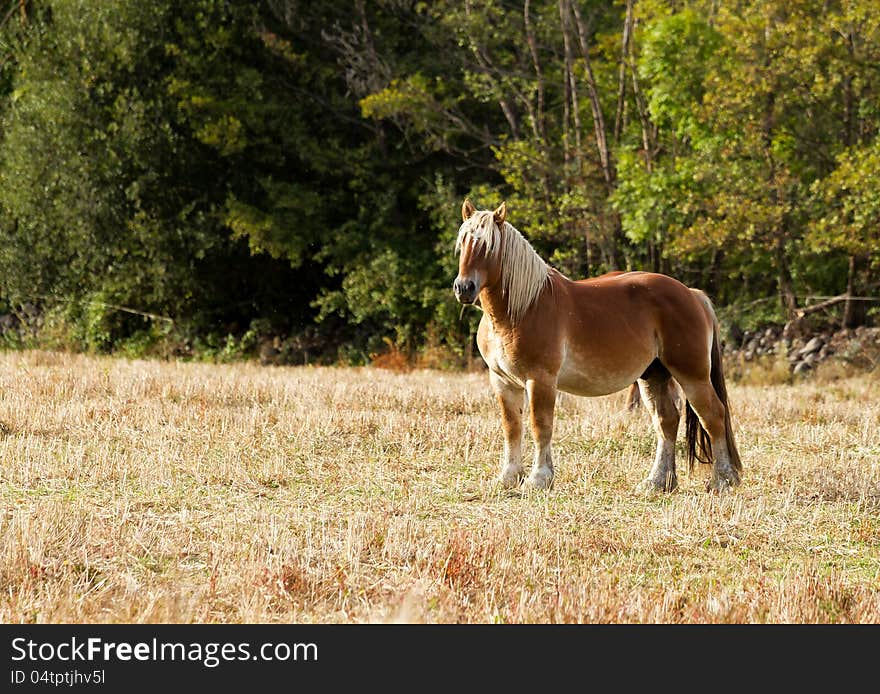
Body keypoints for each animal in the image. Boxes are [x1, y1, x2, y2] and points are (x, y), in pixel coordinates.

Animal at [454, 200, 744, 494]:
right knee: (667, 421)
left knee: (714, 416)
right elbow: (512, 427)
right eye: (463, 242)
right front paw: (509, 477)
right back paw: (658, 482)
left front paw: (539, 479)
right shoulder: (503, 381)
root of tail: (692, 294)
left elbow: (540, 426)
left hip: (692, 376)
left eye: (488, 246)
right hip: (654, 375)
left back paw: (722, 480)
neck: (522, 308)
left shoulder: (540, 379)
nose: (464, 288)